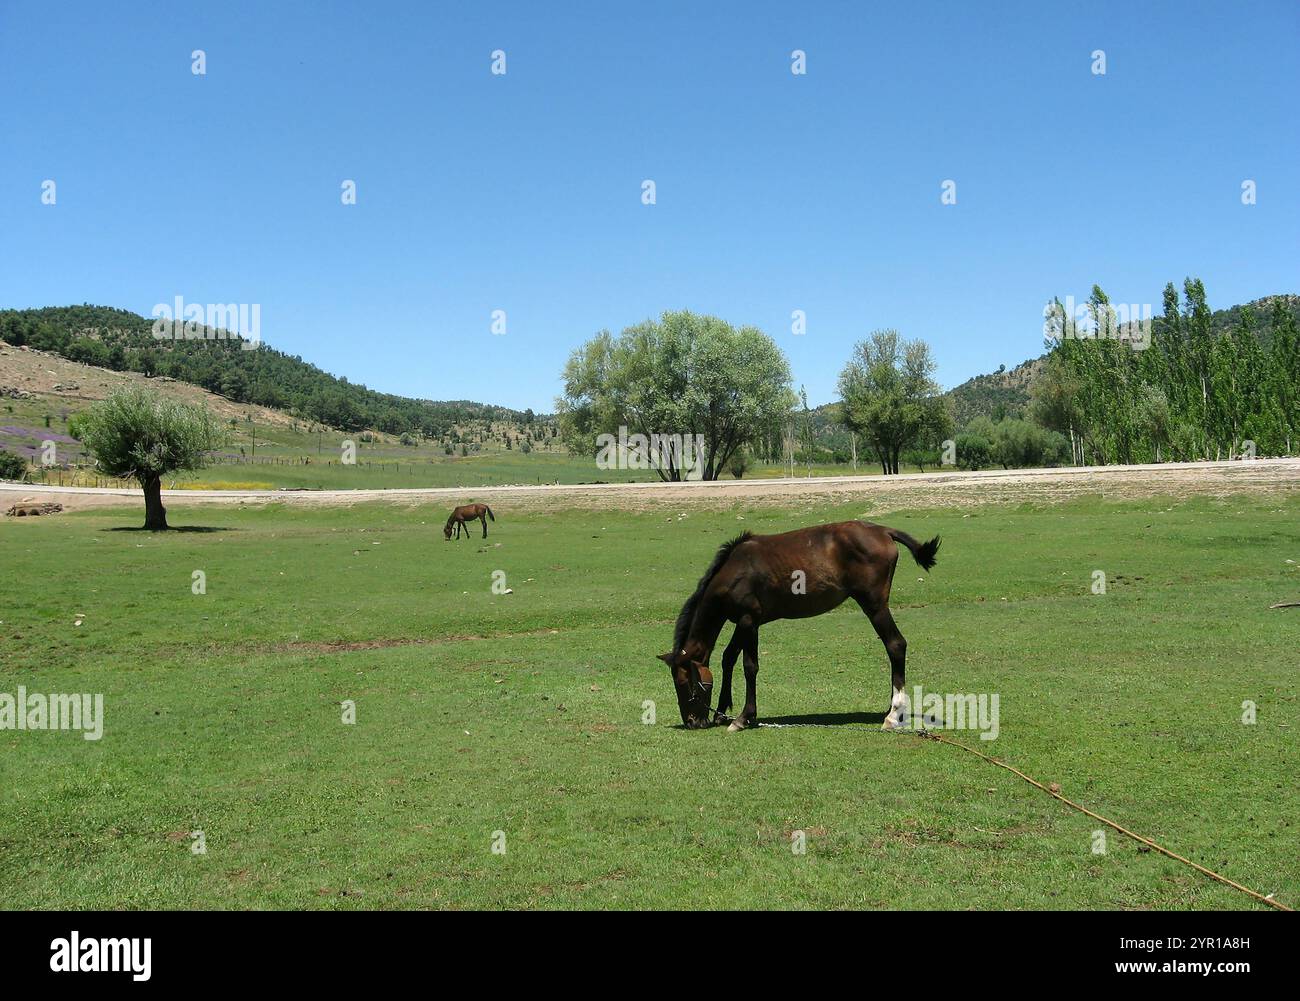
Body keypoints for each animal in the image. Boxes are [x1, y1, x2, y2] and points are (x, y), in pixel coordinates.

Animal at [658, 521, 939, 732]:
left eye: (683, 683)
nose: (692, 722)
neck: (735, 570)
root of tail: (883, 531)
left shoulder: (749, 622)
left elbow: (749, 666)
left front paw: (743, 718)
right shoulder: (744, 623)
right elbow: (728, 659)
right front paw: (721, 712)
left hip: (874, 606)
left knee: (896, 645)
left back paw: (893, 714)